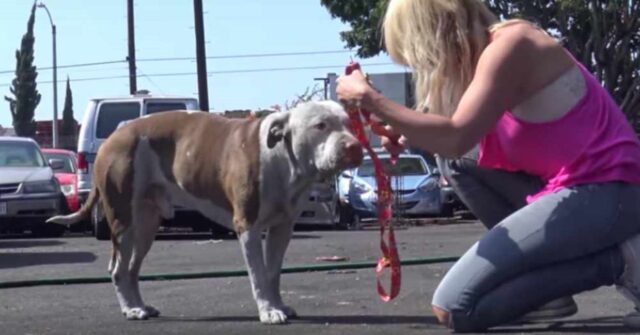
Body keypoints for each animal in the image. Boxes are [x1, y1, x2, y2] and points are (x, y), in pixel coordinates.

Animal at [47, 101, 362, 324]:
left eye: (348, 123)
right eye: (320, 125)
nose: (355, 146)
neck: (283, 159)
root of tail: (114, 136)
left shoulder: (282, 228)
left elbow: (273, 272)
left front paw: (278, 305)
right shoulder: (248, 226)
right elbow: (259, 274)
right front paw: (267, 311)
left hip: (146, 225)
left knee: (131, 269)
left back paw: (140, 306)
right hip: (123, 221)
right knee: (117, 269)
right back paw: (131, 311)